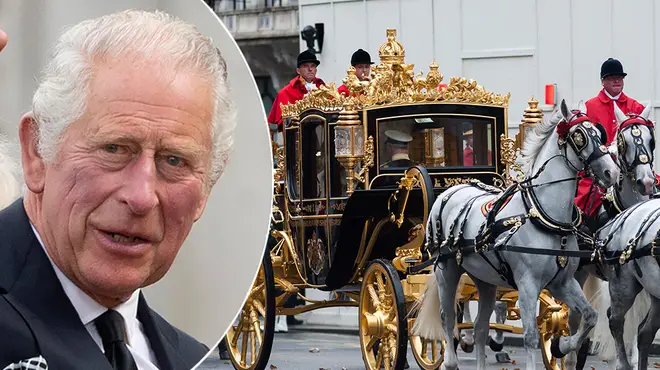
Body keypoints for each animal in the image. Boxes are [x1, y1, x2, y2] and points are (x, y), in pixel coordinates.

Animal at [416, 99, 620, 370]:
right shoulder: (527, 284)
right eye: (579, 136)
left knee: (480, 327)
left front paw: (562, 345)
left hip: (485, 279)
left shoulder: (562, 283)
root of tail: (451, 190)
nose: (612, 173)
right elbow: (531, 336)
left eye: (600, 133)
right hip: (446, 270)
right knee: (447, 318)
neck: (543, 216)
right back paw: (449, 360)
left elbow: (589, 316)